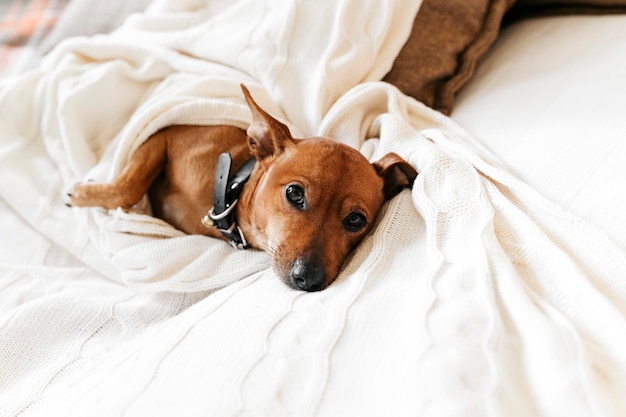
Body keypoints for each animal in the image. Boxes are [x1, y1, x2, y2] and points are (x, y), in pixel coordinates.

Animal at [68, 85, 416, 290]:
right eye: (294, 193)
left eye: (356, 220)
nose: (308, 279)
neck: (229, 184)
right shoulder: (163, 135)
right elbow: (129, 186)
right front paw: (82, 193)